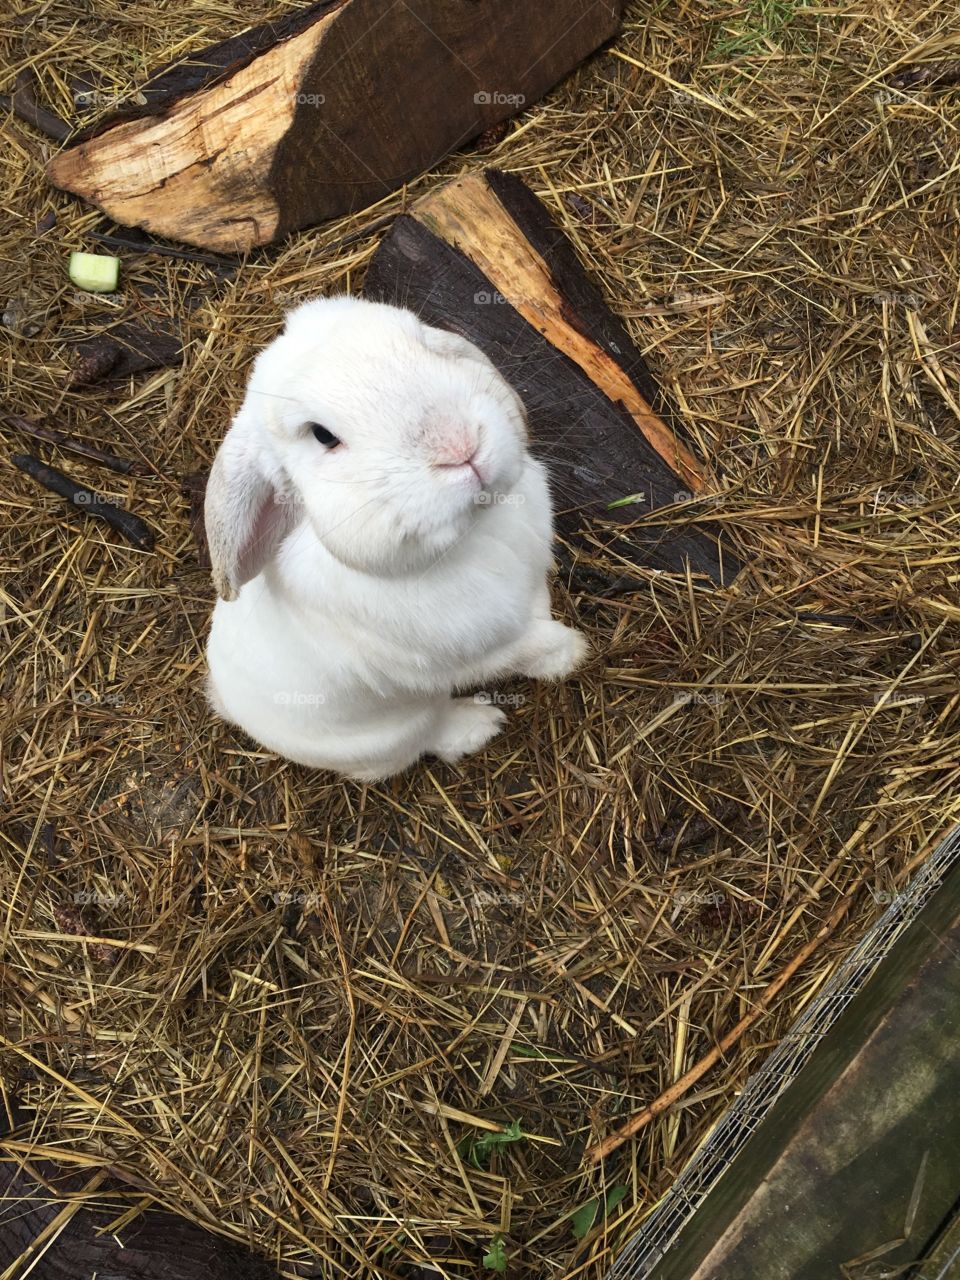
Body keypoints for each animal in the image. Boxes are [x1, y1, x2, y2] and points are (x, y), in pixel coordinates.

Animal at [204, 295, 588, 782]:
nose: (459, 446)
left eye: (423, 340)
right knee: (427, 740)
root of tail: (229, 705)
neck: (474, 533)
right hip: (401, 730)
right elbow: (530, 648)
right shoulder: (481, 653)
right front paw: (571, 653)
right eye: (323, 435)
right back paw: (479, 725)